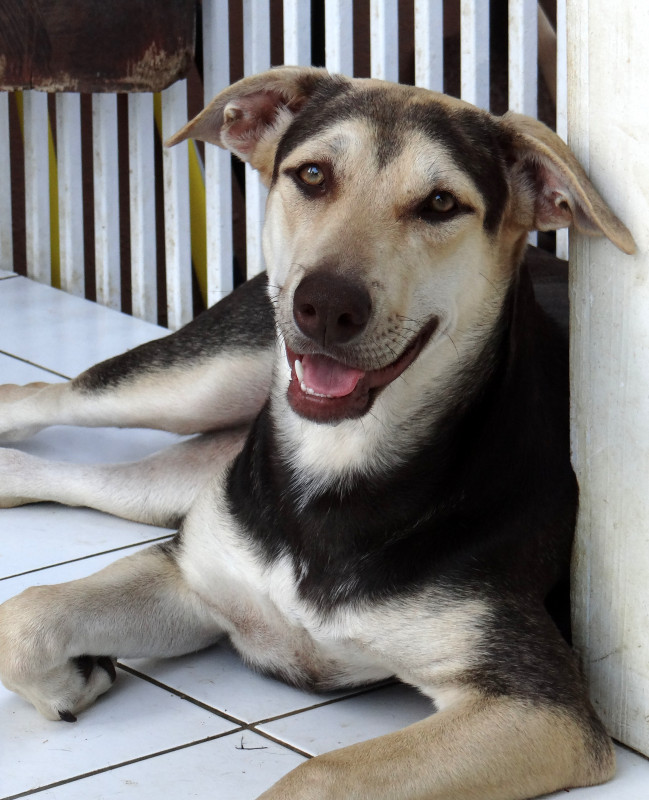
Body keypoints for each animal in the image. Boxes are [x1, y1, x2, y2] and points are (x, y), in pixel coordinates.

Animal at [0, 68, 636, 799]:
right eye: (311, 175)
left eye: (440, 203)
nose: (326, 306)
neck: (337, 469)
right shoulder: (194, 573)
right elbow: (26, 618)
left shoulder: (535, 704)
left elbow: (320, 774)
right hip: (203, 381)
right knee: (46, 396)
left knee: (108, 480)